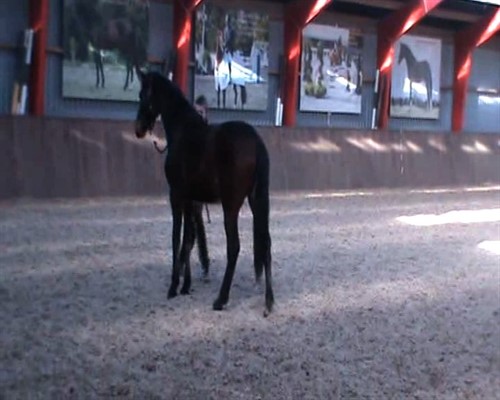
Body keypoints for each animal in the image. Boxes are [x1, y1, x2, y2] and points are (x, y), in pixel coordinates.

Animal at [133, 72, 274, 316]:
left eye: (143, 94)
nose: (139, 129)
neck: (183, 131)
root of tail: (255, 141)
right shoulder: (192, 199)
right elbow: (189, 240)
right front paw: (185, 285)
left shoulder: (177, 196)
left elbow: (176, 237)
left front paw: (173, 286)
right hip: (256, 201)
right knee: (265, 241)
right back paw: (268, 302)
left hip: (231, 205)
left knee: (234, 246)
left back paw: (221, 299)